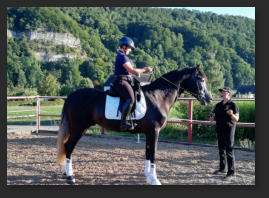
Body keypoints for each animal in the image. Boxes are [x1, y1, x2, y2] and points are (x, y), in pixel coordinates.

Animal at [56, 65, 211, 185]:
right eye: (201, 79)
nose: (208, 98)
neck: (158, 97)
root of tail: (72, 95)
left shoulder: (149, 132)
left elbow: (148, 153)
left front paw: (148, 177)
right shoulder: (154, 131)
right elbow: (153, 154)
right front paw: (155, 180)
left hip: (80, 128)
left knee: (66, 146)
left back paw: (66, 173)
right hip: (78, 128)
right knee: (68, 146)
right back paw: (70, 177)